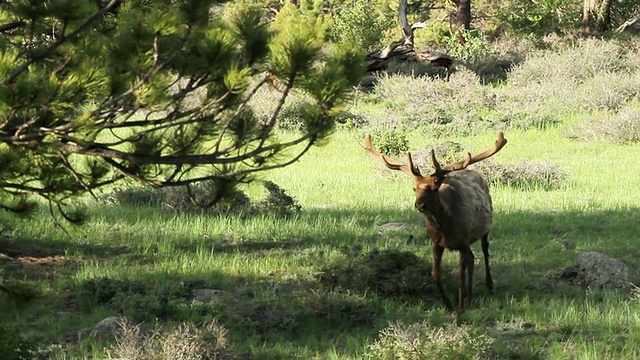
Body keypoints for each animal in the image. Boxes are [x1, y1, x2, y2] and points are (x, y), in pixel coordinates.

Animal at [364, 133, 504, 312]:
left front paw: (460, 307)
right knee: (472, 259)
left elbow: (459, 276)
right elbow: (435, 274)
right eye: (415, 188)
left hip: (485, 227)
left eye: (433, 188)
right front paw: (449, 304)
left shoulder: (463, 241)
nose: (419, 205)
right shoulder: (437, 243)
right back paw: (471, 296)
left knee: (485, 251)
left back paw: (489, 286)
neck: (444, 227)